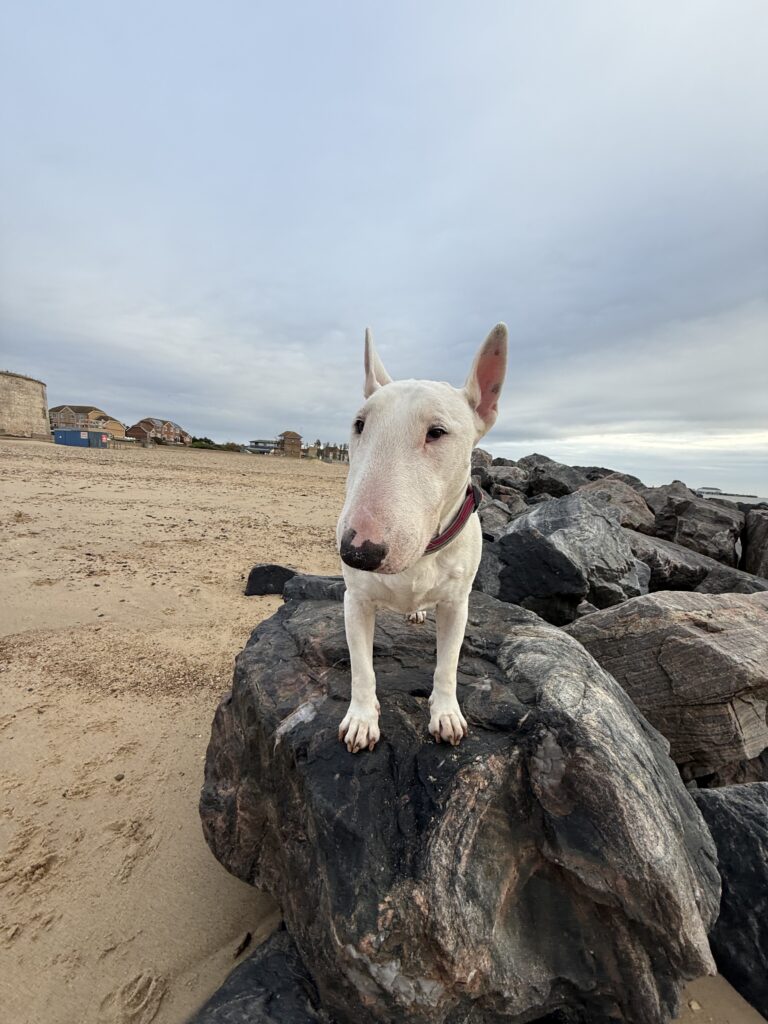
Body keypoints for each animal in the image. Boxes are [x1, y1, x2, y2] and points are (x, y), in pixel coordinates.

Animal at [336, 323, 508, 752]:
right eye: (359, 424)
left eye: (437, 432)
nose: (358, 552)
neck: (422, 555)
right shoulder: (355, 600)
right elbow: (362, 668)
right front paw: (361, 720)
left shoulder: (457, 604)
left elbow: (448, 664)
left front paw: (445, 715)